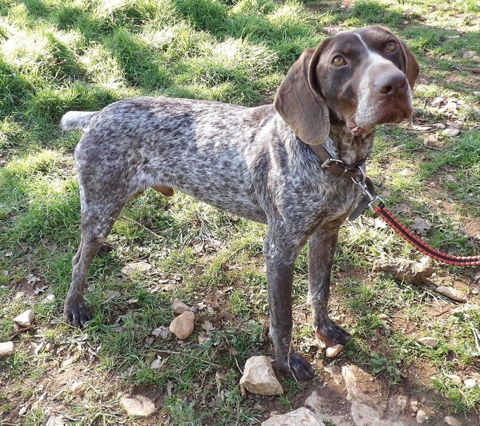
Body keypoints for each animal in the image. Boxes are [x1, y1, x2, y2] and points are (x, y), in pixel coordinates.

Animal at [62, 25, 418, 380]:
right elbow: (283, 320)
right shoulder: (279, 251)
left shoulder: (326, 235)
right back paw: (74, 307)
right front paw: (286, 363)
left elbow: (320, 292)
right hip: (102, 205)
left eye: (389, 46)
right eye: (339, 60)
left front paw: (324, 330)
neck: (332, 158)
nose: (394, 83)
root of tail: (97, 115)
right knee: (79, 259)